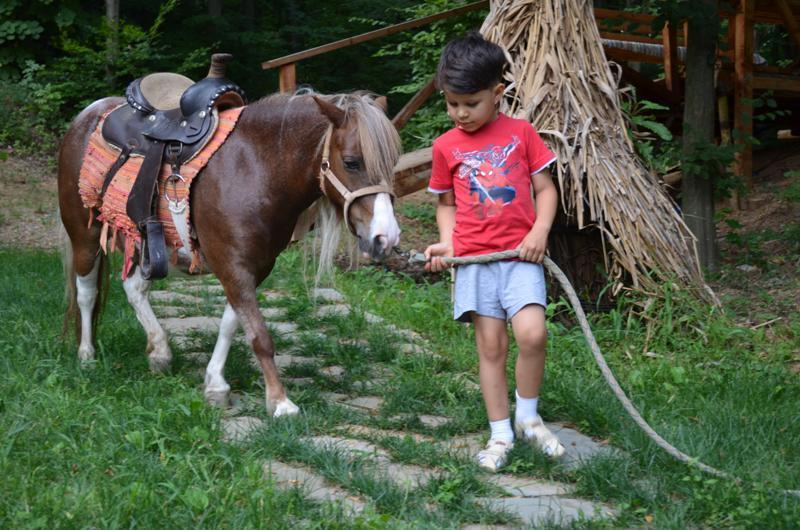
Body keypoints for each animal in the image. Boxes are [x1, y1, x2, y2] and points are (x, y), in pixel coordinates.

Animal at [57, 93, 400, 418]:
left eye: (393, 164)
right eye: (352, 162)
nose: (387, 237)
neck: (256, 169)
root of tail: (88, 114)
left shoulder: (254, 268)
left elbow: (231, 325)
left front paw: (216, 385)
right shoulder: (234, 266)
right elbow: (260, 335)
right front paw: (280, 402)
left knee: (134, 289)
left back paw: (160, 351)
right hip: (85, 236)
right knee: (86, 293)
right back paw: (87, 355)